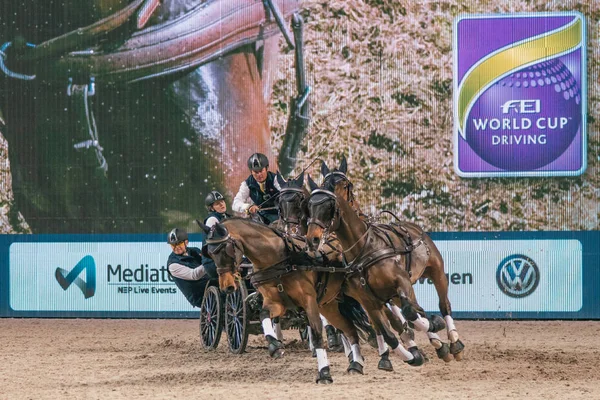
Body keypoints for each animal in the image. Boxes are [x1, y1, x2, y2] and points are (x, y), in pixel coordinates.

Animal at [199, 217, 372, 382]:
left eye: (226, 249)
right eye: (210, 253)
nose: (226, 286)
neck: (280, 260)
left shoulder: (309, 300)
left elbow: (316, 333)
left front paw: (324, 373)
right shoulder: (276, 303)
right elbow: (263, 314)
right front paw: (275, 346)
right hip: (329, 305)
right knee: (348, 328)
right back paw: (355, 363)